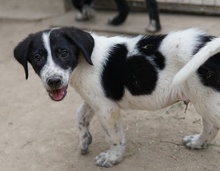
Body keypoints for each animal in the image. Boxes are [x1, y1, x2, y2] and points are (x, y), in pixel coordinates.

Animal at [14, 27, 220, 168]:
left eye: (64, 53)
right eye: (37, 57)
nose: (54, 81)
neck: (84, 59)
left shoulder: (107, 109)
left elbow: (113, 136)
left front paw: (113, 157)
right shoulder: (96, 99)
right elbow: (80, 115)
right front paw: (84, 140)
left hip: (207, 98)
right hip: (204, 98)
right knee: (210, 127)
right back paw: (198, 142)